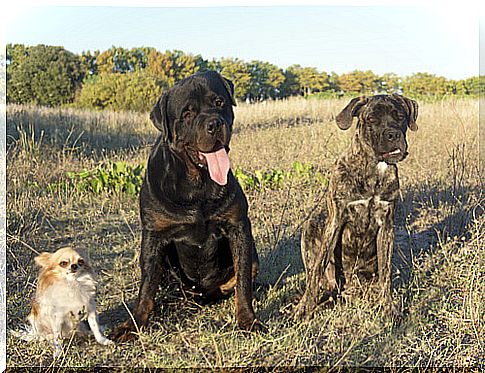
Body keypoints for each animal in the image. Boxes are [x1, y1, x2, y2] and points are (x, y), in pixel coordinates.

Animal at [294, 93, 418, 320]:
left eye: (400, 116)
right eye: (371, 119)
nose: (393, 134)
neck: (374, 169)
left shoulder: (387, 226)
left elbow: (386, 271)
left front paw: (388, 307)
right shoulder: (336, 221)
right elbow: (318, 267)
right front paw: (305, 308)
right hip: (311, 226)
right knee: (315, 273)